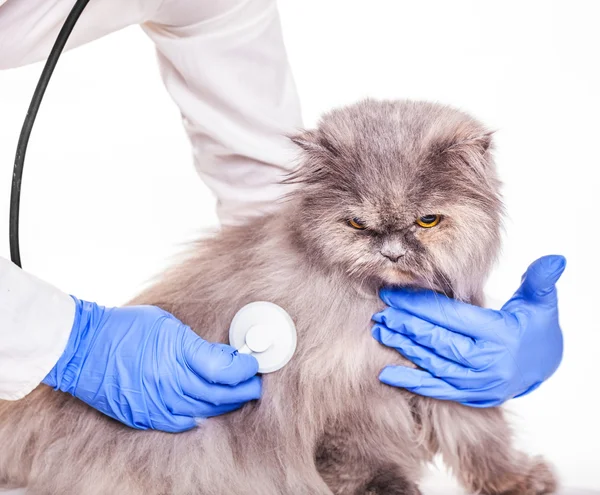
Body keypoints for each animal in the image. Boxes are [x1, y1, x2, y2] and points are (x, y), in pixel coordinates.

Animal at [0, 99, 556, 494]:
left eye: (427, 220)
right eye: (358, 223)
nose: (392, 250)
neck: (376, 302)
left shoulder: (448, 375)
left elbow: (482, 440)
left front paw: (519, 481)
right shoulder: (348, 400)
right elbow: (366, 463)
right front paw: (391, 490)